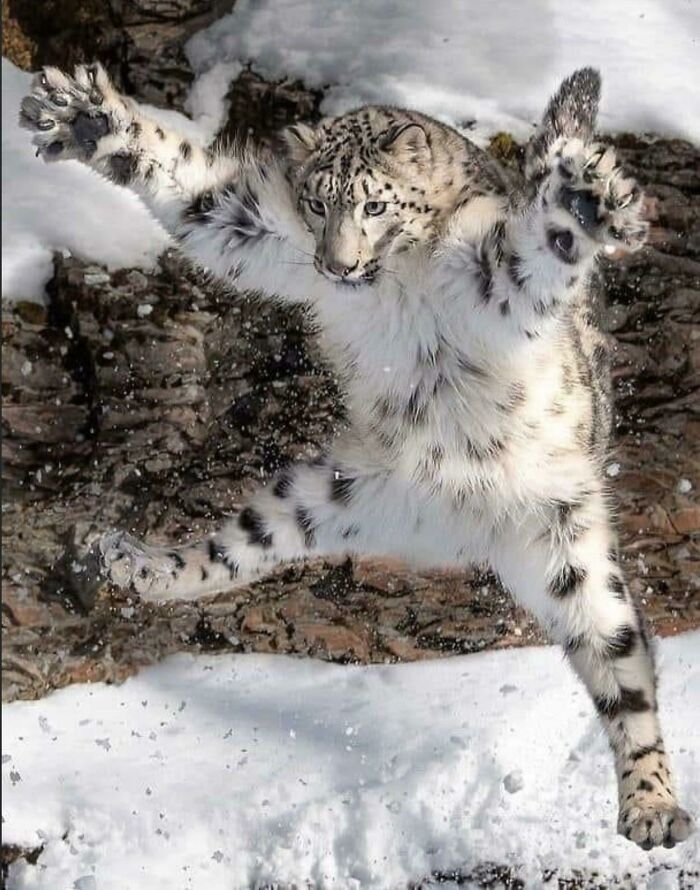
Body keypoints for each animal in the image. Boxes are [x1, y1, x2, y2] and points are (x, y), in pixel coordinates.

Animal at [20, 62, 694, 850]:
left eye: (375, 203)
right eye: (318, 202)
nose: (337, 266)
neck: (395, 285)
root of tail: (458, 531)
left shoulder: (495, 275)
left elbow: (537, 247)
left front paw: (585, 198)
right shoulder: (258, 228)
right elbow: (196, 191)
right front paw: (88, 118)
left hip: (571, 545)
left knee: (622, 670)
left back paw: (652, 806)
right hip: (324, 493)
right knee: (226, 554)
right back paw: (128, 563)